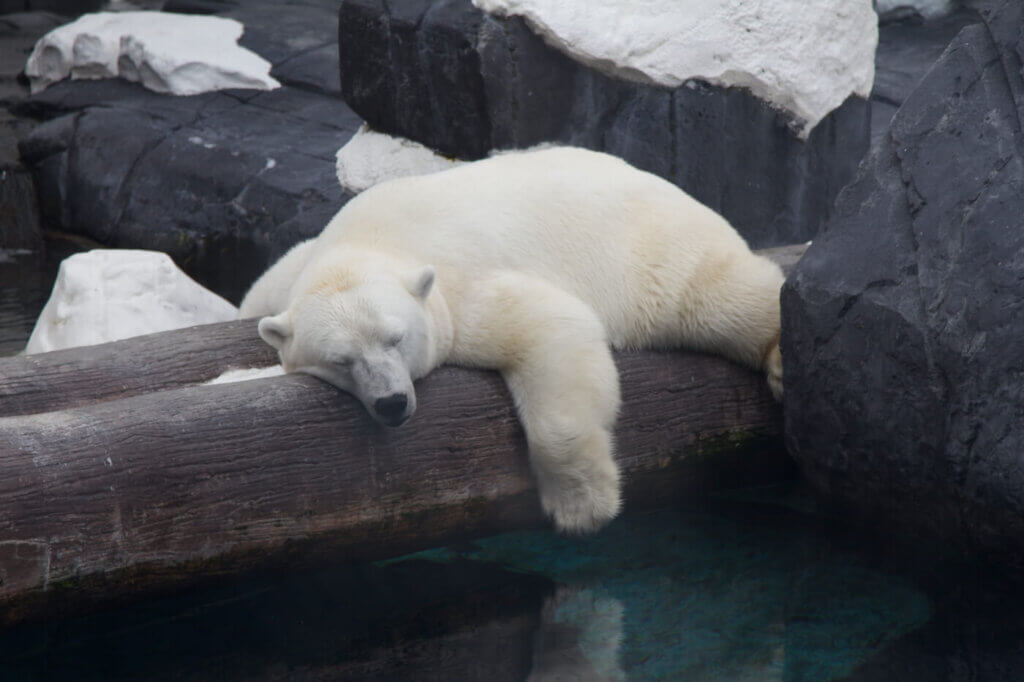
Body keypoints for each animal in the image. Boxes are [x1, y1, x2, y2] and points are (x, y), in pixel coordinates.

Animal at [239, 146, 782, 532]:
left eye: (395, 338)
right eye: (341, 360)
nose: (392, 403)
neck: (370, 239)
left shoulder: (459, 287)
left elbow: (554, 326)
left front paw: (583, 505)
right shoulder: (289, 274)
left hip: (651, 253)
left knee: (714, 296)